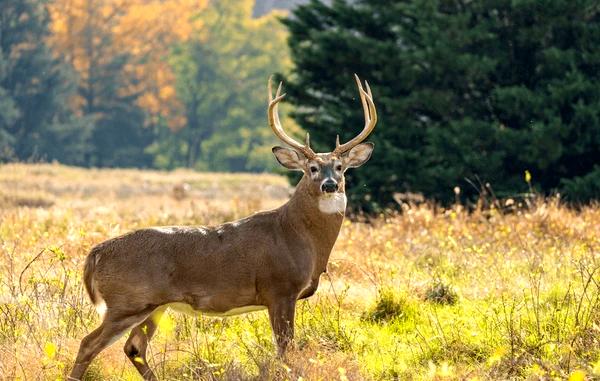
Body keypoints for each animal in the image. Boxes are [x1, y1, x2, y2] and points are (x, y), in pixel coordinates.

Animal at [69, 74, 376, 378]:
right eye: (312, 168)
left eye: (340, 167)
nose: (329, 185)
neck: (298, 235)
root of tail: (96, 253)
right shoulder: (280, 288)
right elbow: (285, 349)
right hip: (127, 301)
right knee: (89, 343)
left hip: (154, 305)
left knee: (134, 347)